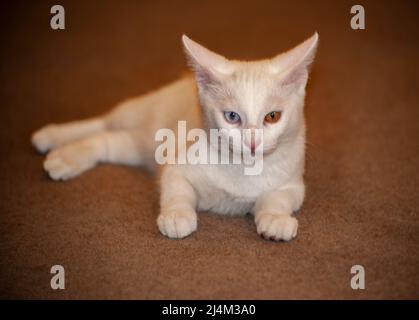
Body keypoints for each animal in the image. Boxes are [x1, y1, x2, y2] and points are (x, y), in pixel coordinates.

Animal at [32, 33, 318, 241]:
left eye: (272, 116)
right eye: (232, 117)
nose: (253, 142)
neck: (242, 168)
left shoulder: (293, 184)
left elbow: (278, 198)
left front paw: (276, 218)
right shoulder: (177, 165)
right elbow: (176, 190)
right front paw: (177, 215)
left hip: (140, 146)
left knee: (109, 140)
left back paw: (62, 152)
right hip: (145, 125)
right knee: (104, 123)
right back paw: (53, 141)